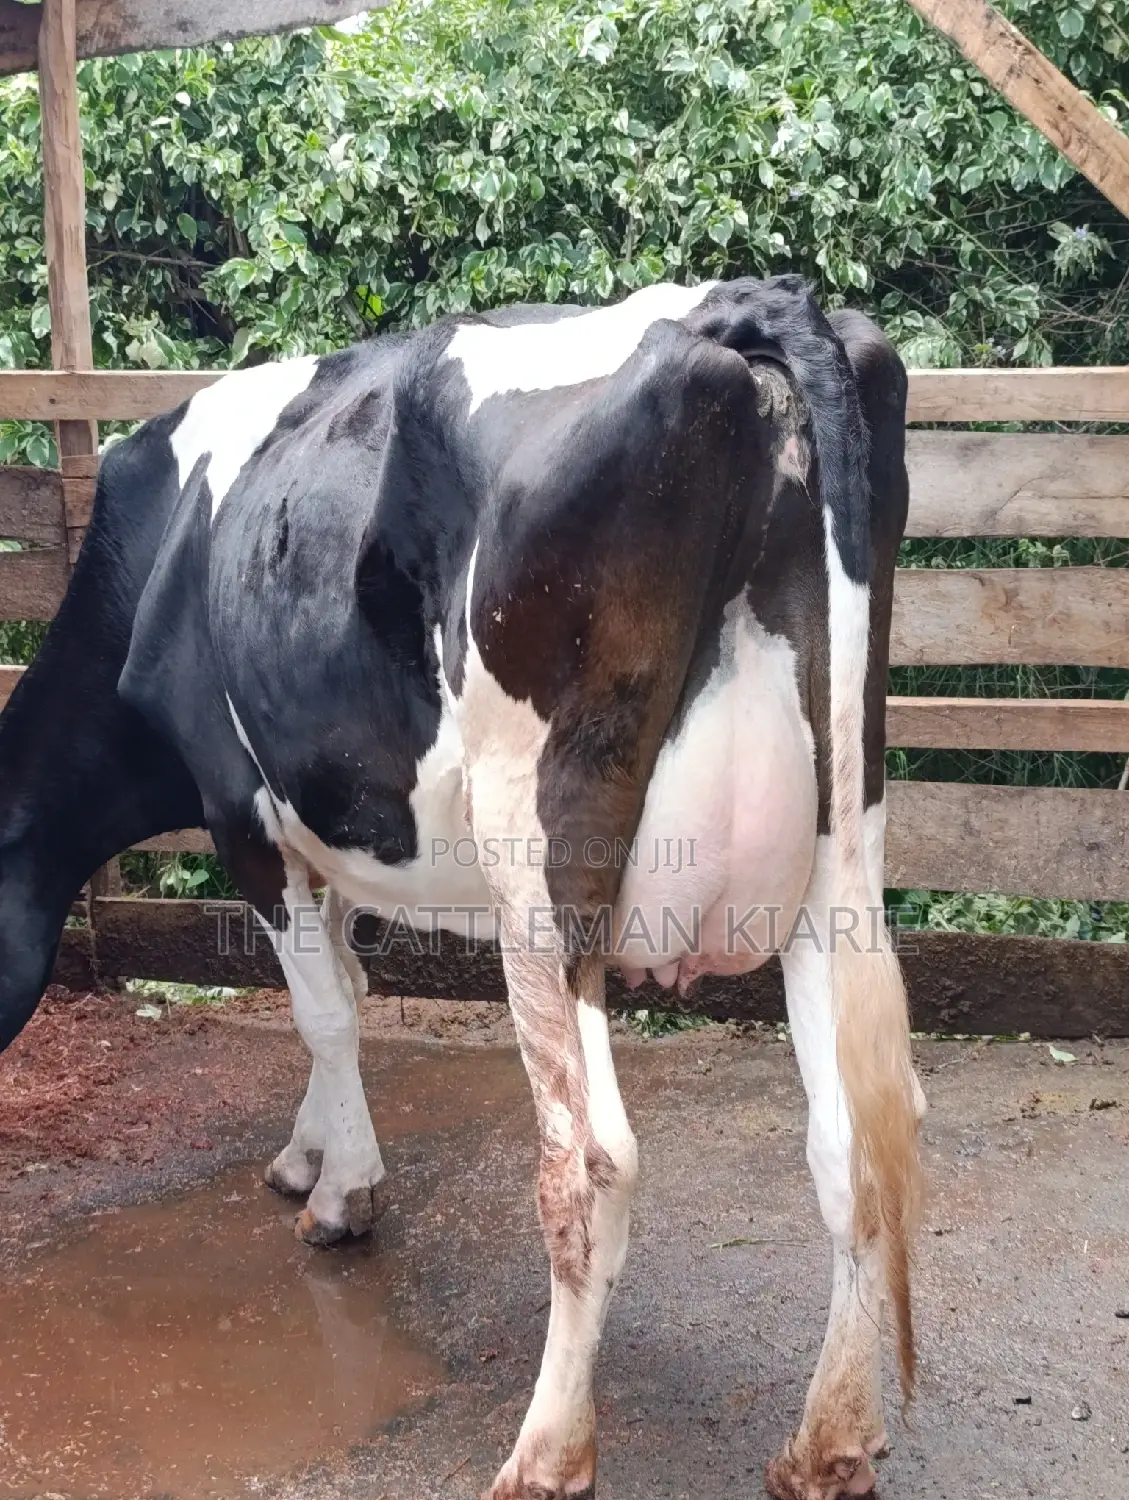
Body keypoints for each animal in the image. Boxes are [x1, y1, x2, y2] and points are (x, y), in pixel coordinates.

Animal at [0, 274, 922, 1500]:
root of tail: (735, 303)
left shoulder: (244, 809)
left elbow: (325, 1012)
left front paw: (342, 1194)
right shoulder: (336, 826)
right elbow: (339, 984)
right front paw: (306, 1154)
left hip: (539, 847)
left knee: (590, 1160)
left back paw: (544, 1454)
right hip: (841, 845)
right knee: (857, 1132)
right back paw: (828, 1441)